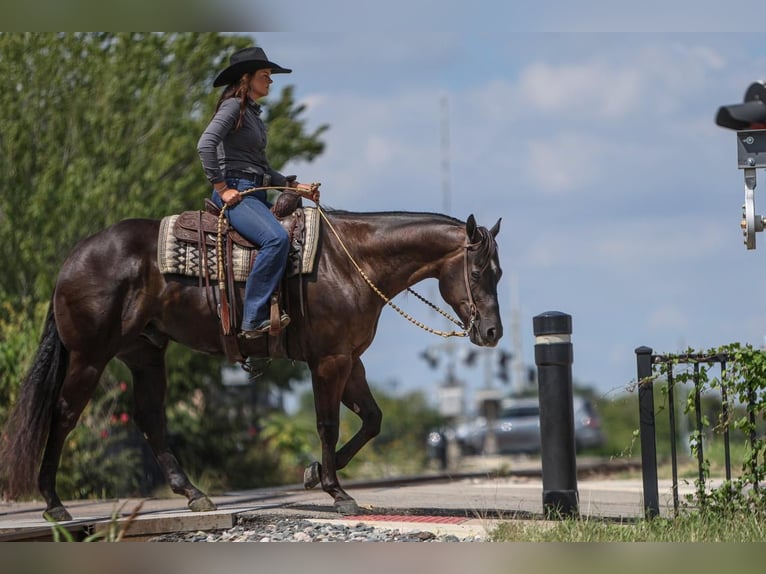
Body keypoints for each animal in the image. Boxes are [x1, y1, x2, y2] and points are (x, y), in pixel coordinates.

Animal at [0, 208, 508, 520]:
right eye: (478, 271)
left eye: (499, 273)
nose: (492, 333)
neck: (351, 263)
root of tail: (74, 257)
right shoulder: (328, 361)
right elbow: (328, 424)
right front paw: (336, 491)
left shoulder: (351, 361)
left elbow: (372, 420)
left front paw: (313, 474)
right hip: (90, 355)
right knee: (64, 414)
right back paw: (53, 503)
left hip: (144, 353)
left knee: (149, 419)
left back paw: (194, 495)